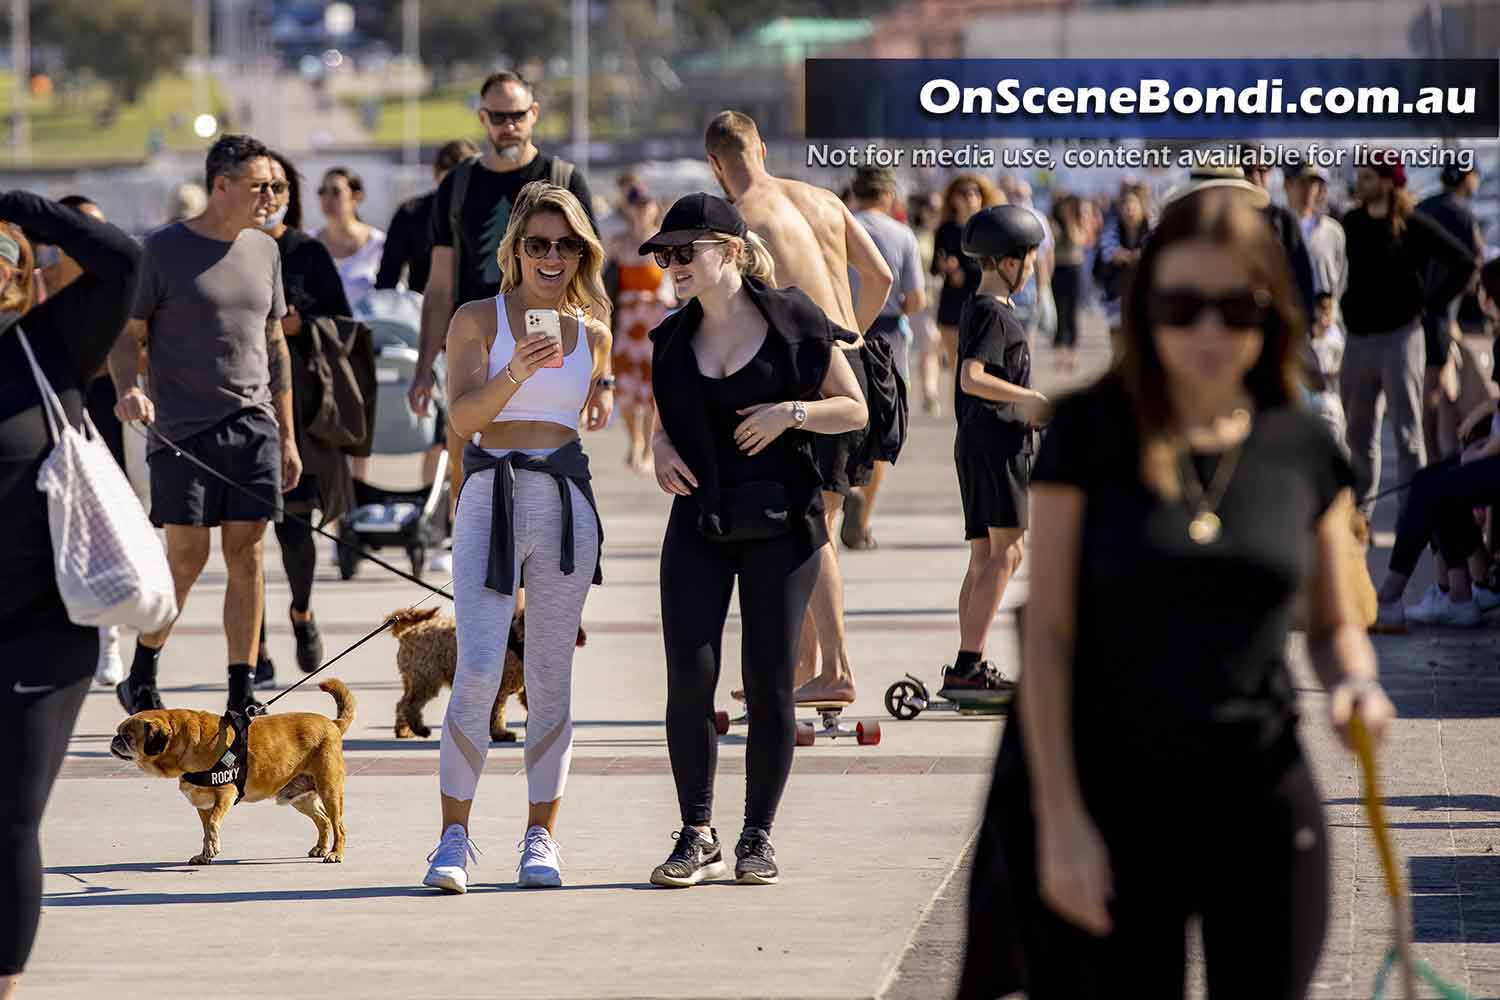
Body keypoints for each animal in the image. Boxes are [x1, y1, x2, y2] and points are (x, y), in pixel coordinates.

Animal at [112, 683, 352, 863]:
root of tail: (333, 724)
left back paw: (335, 853)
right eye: (119, 733)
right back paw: (321, 847)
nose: (114, 740)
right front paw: (205, 854)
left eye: (128, 736)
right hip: (300, 798)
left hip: (329, 791)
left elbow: (212, 824)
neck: (185, 739)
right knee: (323, 820)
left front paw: (212, 847)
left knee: (339, 826)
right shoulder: (203, 804)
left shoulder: (225, 794)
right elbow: (206, 829)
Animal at [390, 611, 582, 743]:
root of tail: (407, 634)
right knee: (410, 705)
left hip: (413, 680)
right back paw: (419, 729)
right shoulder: (500, 688)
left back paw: (403, 730)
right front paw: (501, 734)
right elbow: (498, 713)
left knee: (401, 703)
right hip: (427, 678)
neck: (519, 640)